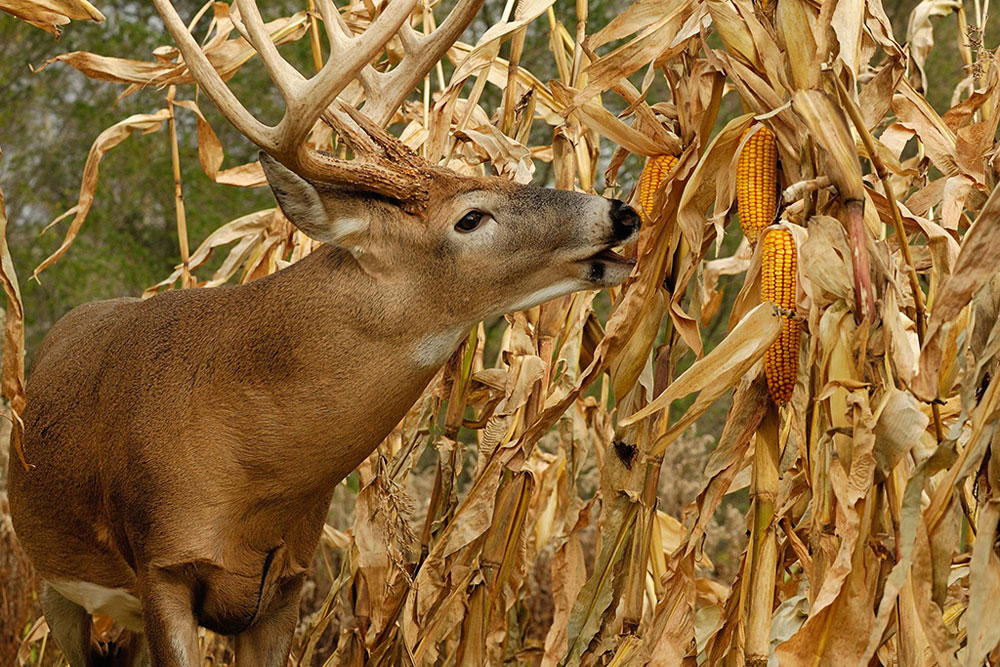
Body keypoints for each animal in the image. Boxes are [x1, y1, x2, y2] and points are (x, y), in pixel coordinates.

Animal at [5, 1, 640, 667]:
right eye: (470, 217)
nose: (622, 212)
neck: (253, 476)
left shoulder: (285, 582)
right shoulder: (163, 565)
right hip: (56, 586)